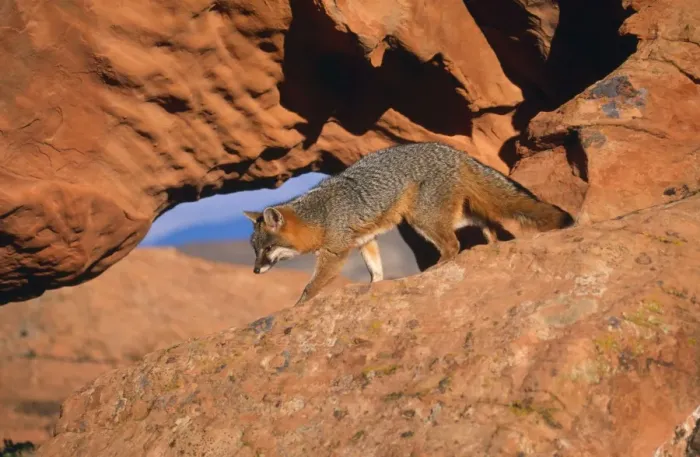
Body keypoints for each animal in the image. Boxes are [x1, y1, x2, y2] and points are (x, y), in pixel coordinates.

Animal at [243, 142, 574, 306]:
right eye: (254, 250)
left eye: (268, 249)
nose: (255, 271)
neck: (320, 215)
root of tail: (453, 151)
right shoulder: (365, 240)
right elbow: (375, 270)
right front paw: (374, 288)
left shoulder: (334, 253)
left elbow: (311, 286)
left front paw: (297, 306)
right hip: (447, 213)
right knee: (485, 218)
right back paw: (492, 242)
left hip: (421, 218)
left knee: (453, 246)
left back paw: (435, 269)